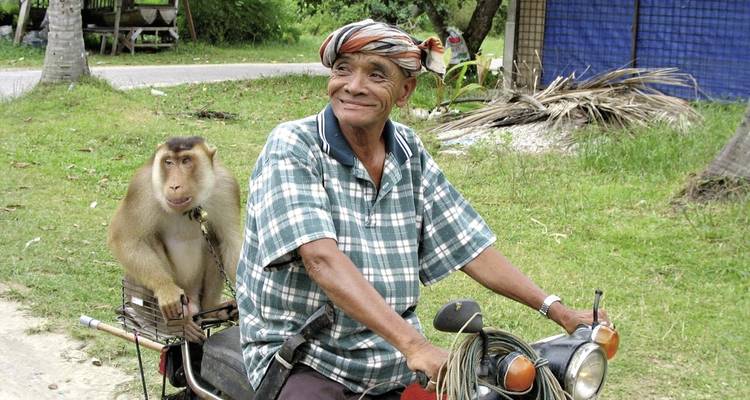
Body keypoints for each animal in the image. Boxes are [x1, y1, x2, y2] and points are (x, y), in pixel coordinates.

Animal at [108, 136, 241, 342]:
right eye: (168, 162)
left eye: (186, 161)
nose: (174, 186)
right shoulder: (141, 187)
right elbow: (125, 238)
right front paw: (165, 289)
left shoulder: (227, 186)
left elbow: (230, 241)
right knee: (149, 238)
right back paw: (175, 326)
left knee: (215, 239)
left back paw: (212, 311)